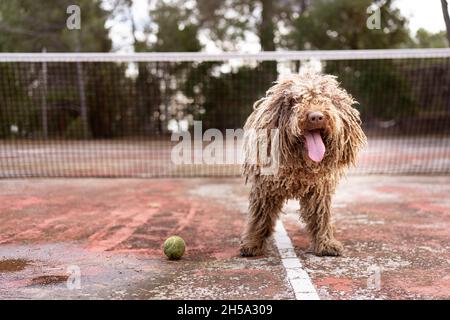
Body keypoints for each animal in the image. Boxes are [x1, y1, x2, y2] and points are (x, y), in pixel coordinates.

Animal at [243, 71, 366, 256]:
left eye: (326, 98)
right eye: (295, 100)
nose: (316, 116)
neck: (301, 163)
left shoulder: (319, 190)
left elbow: (320, 217)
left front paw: (325, 243)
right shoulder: (265, 188)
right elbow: (260, 215)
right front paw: (253, 243)